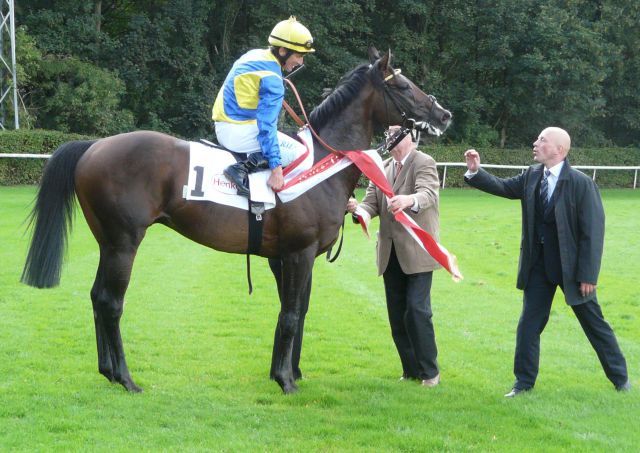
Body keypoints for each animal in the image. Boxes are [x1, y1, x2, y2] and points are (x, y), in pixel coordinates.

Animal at [20, 46, 450, 392]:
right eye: (404, 85)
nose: (443, 114)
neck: (322, 160)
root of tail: (94, 147)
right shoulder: (298, 253)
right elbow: (290, 315)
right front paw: (285, 381)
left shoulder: (287, 258)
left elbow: (295, 312)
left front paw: (287, 372)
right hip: (124, 244)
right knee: (111, 302)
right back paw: (126, 378)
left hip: (107, 243)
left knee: (96, 297)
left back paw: (108, 372)